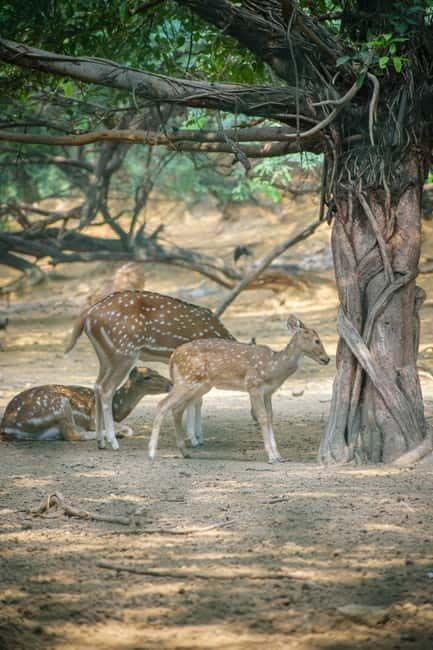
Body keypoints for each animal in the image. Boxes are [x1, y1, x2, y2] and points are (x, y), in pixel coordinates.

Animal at [0, 367, 171, 442]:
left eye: (156, 371)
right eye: (147, 377)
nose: (170, 383)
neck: (115, 408)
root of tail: (8, 426)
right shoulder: (94, 418)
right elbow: (129, 428)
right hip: (59, 404)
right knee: (73, 435)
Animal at [64, 290, 236, 450]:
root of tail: (87, 315)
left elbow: (198, 400)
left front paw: (198, 438)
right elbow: (194, 399)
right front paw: (193, 439)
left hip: (106, 357)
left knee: (97, 384)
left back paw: (101, 441)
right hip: (124, 351)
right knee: (106, 388)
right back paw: (113, 442)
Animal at [148, 315, 330, 463]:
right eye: (316, 340)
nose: (327, 359)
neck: (273, 368)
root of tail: (173, 356)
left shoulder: (268, 392)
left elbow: (270, 417)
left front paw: (279, 456)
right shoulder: (253, 385)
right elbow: (262, 417)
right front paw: (272, 457)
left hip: (200, 385)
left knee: (177, 409)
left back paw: (185, 452)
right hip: (186, 381)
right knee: (162, 405)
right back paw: (152, 453)